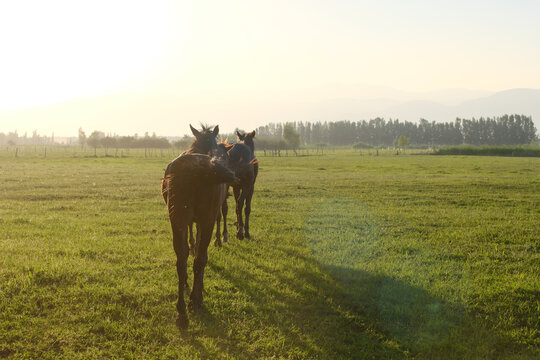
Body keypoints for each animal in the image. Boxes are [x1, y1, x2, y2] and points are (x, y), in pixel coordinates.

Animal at [161, 124, 235, 330]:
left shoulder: (188, 221)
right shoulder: (205, 220)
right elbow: (201, 256)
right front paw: (198, 292)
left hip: (177, 219)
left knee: (181, 259)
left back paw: (181, 311)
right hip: (205, 218)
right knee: (199, 259)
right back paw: (195, 299)